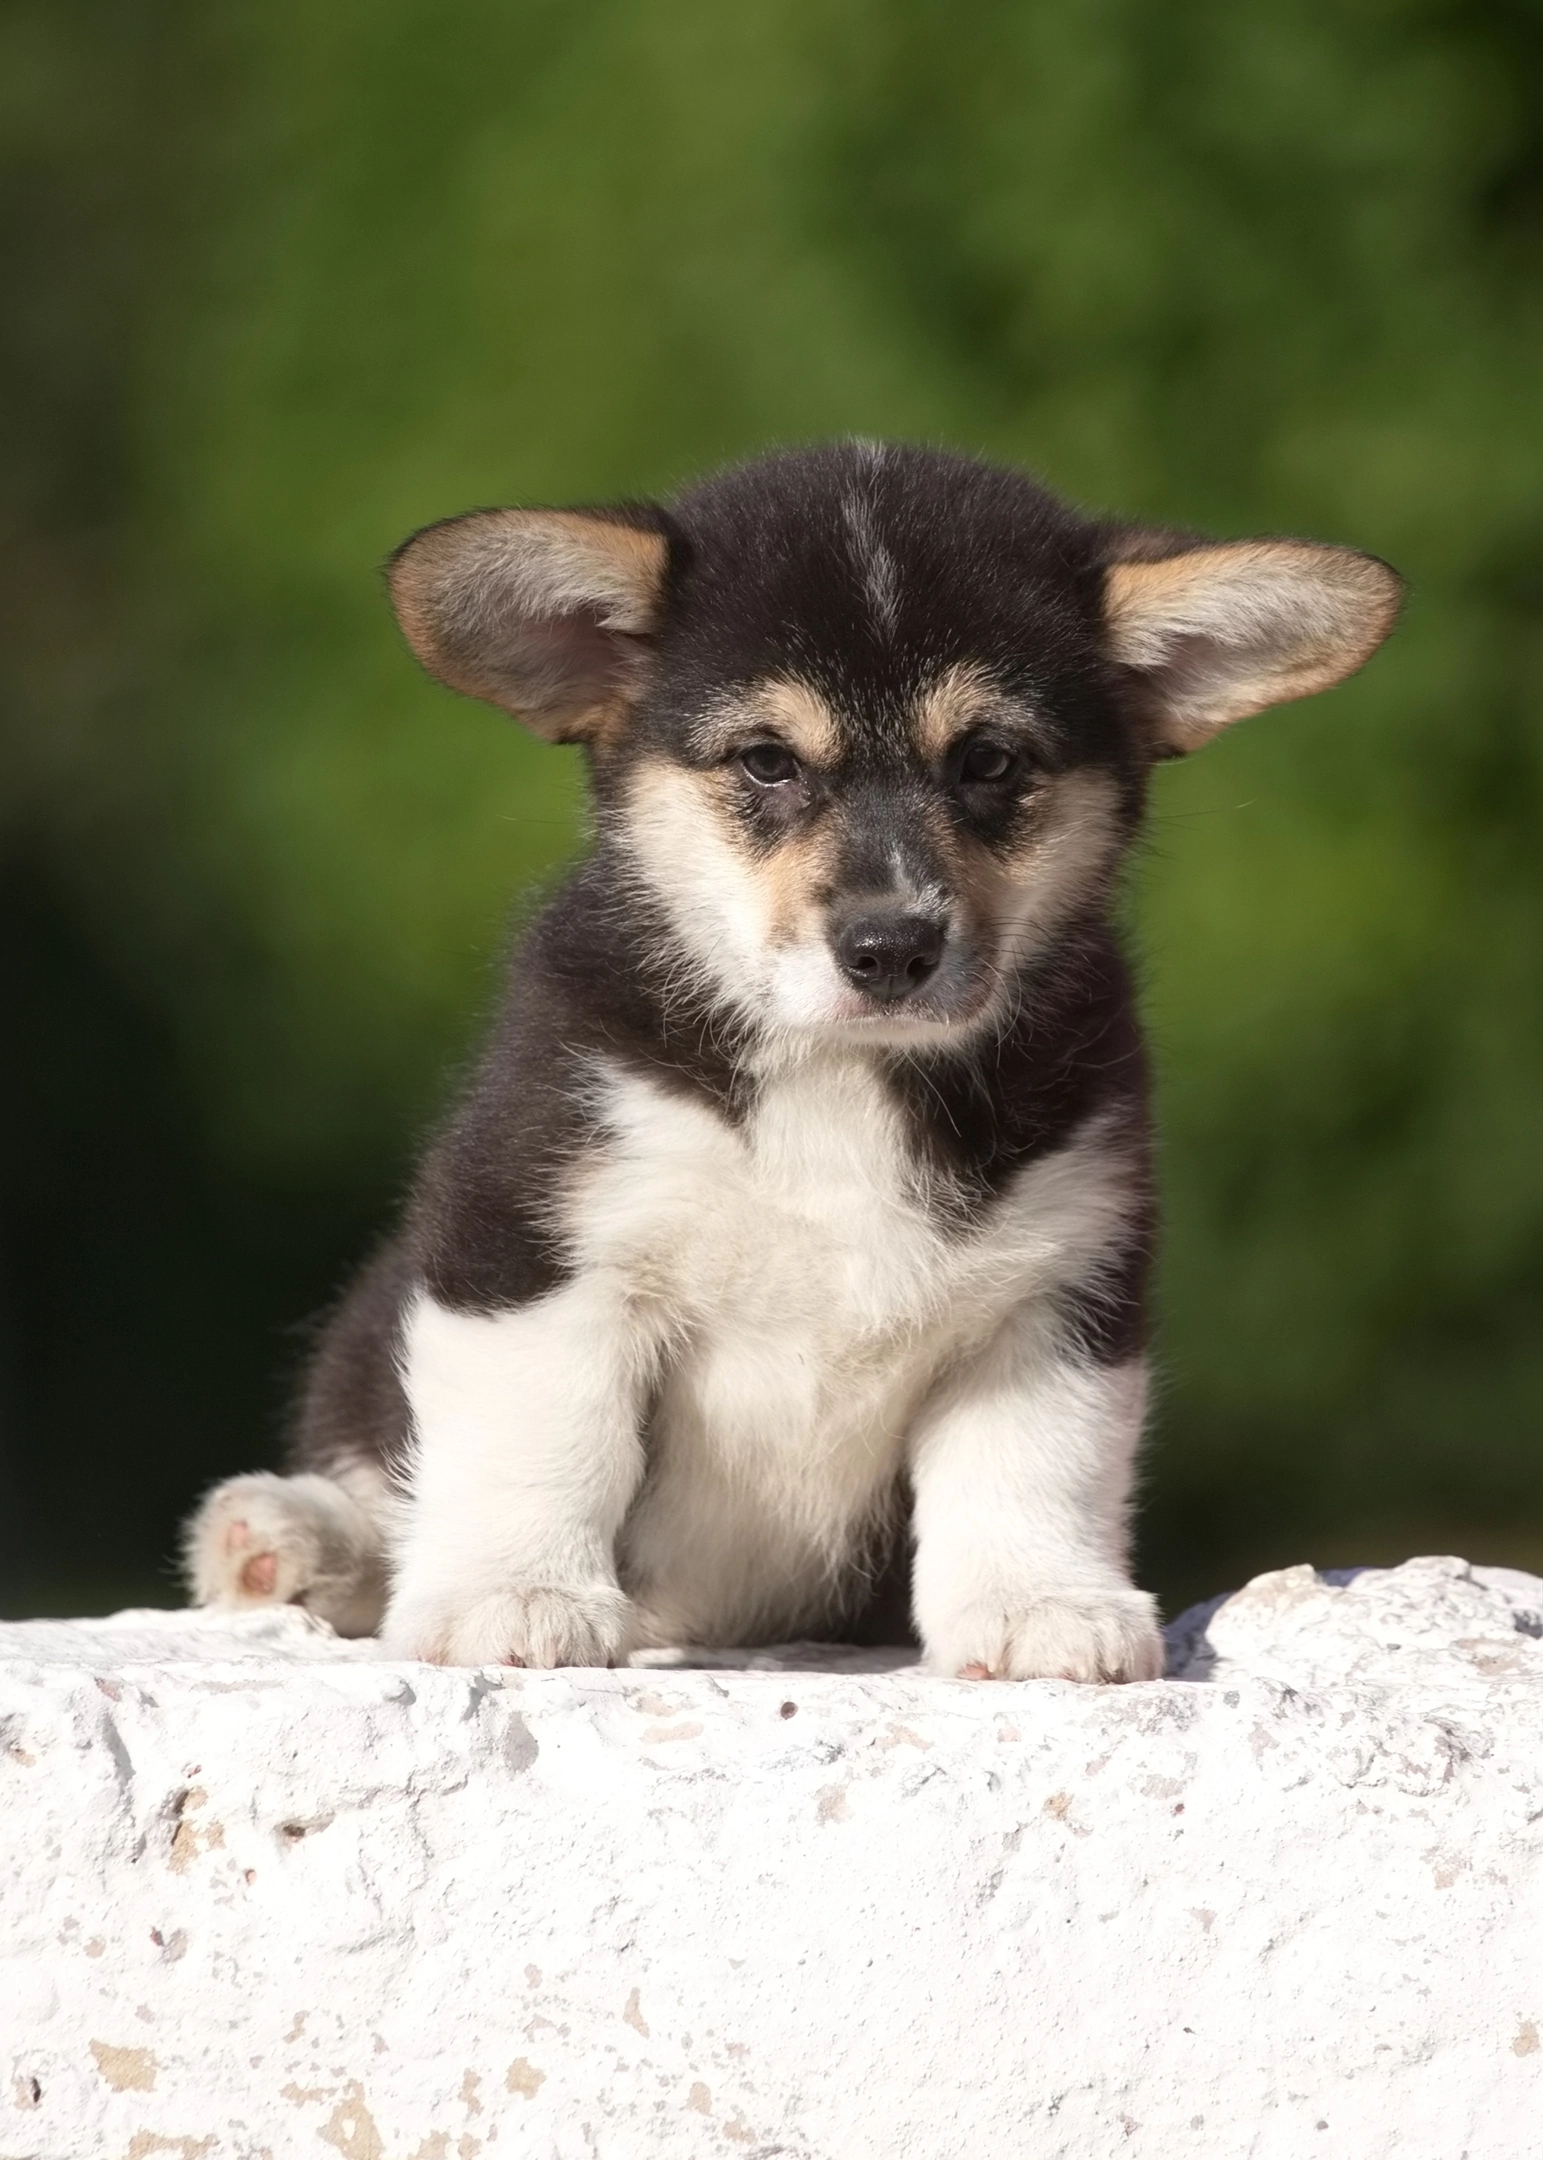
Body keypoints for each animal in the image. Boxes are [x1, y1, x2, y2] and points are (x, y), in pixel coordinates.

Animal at [183, 438, 1391, 1676]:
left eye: (989, 760)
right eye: (766, 761)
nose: (891, 948)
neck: (837, 1076)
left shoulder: (1057, 1288)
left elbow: (1033, 1465)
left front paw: (1041, 1606)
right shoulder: (529, 1236)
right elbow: (538, 1432)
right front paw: (510, 1593)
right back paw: (289, 1538)